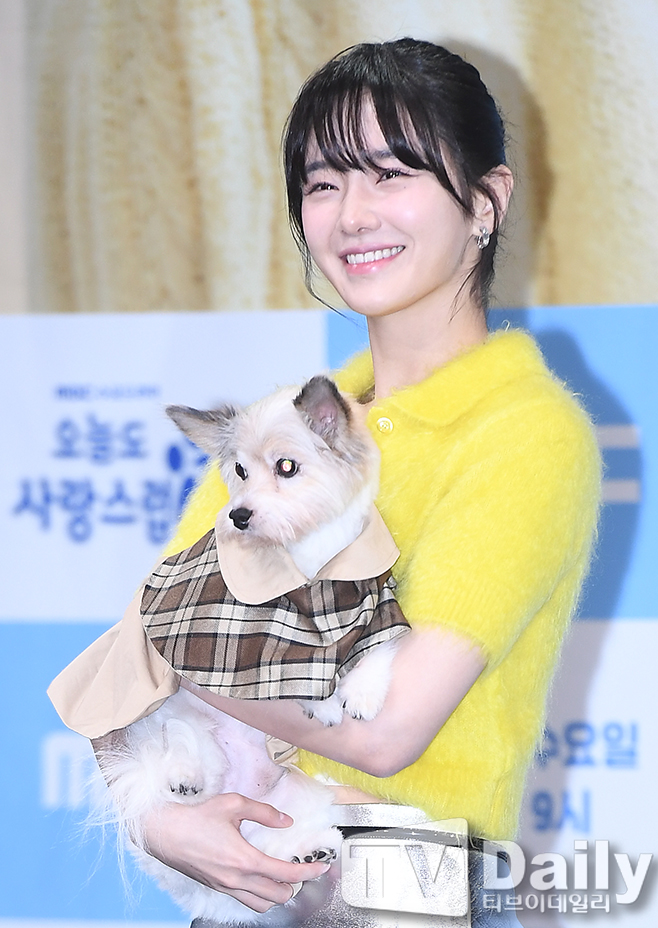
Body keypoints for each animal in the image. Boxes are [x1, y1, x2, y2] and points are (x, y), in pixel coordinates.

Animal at [94, 376, 407, 924]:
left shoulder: (376, 599)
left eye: (287, 467)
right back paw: (186, 777)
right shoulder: (247, 636)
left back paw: (309, 848)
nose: (239, 515)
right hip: (168, 724)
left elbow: (376, 647)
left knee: (277, 845)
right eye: (238, 471)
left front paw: (362, 694)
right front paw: (324, 702)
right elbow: (288, 664)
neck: (308, 566)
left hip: (294, 801)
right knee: (178, 746)